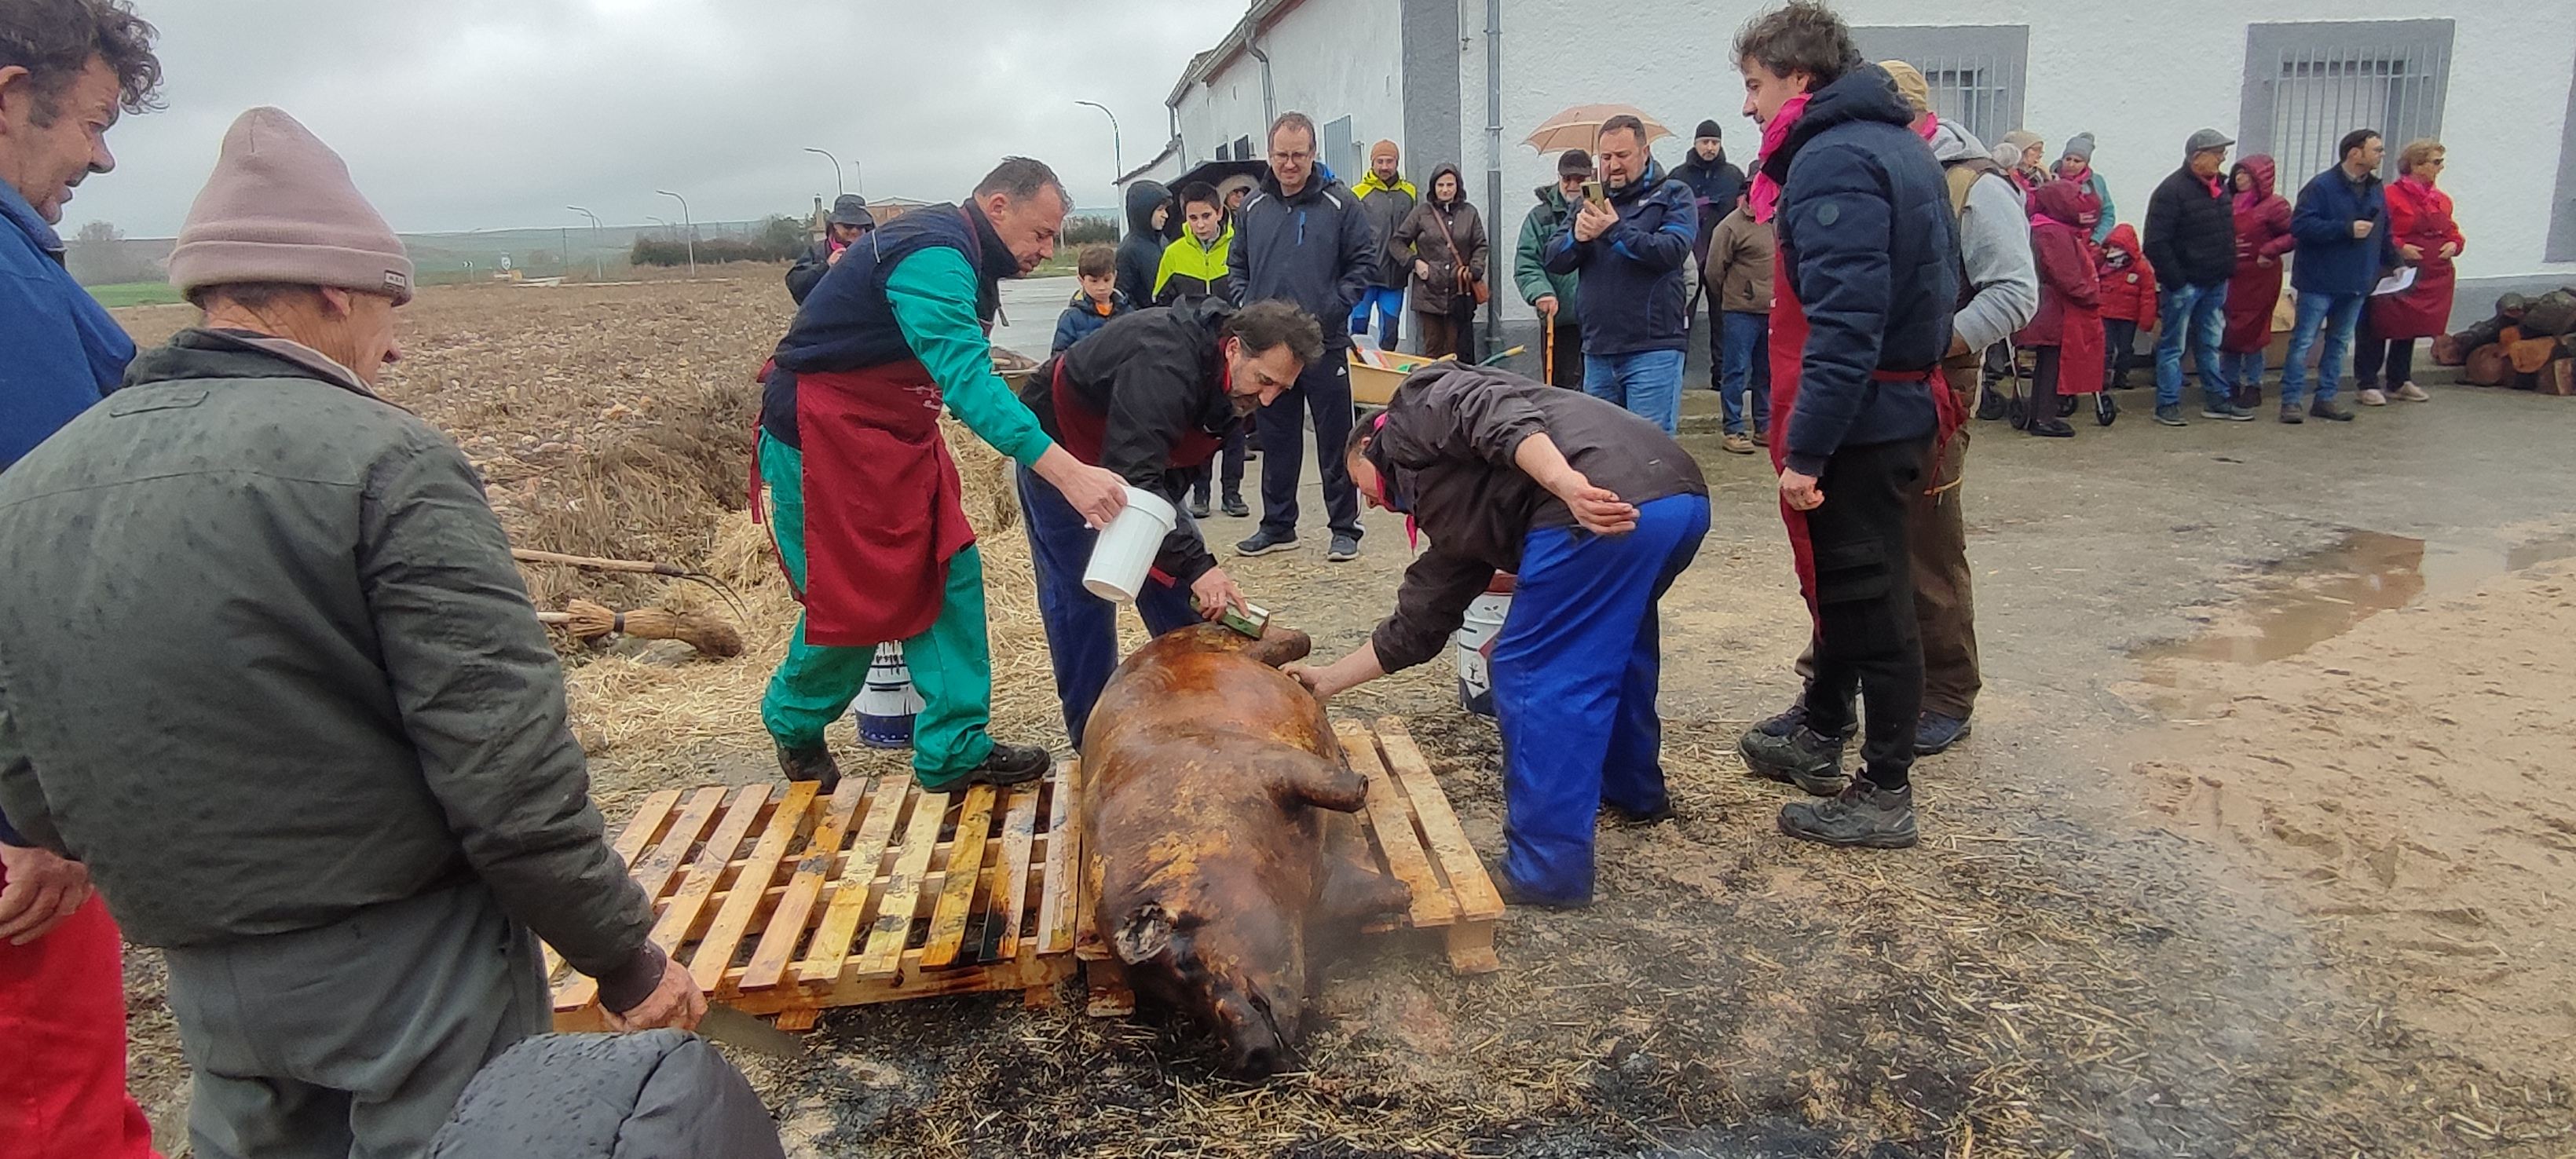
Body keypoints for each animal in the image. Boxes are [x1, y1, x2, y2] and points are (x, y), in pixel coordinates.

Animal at [1081, 626, 1422, 1077]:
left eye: (1185, 965)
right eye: (1178, 1001)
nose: (1250, 1056)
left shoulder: (1254, 760)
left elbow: (1336, 789)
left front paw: (1362, 784)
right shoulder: (1320, 887)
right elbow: (1369, 892)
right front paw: (1405, 892)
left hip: (1240, 644)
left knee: (1294, 641)